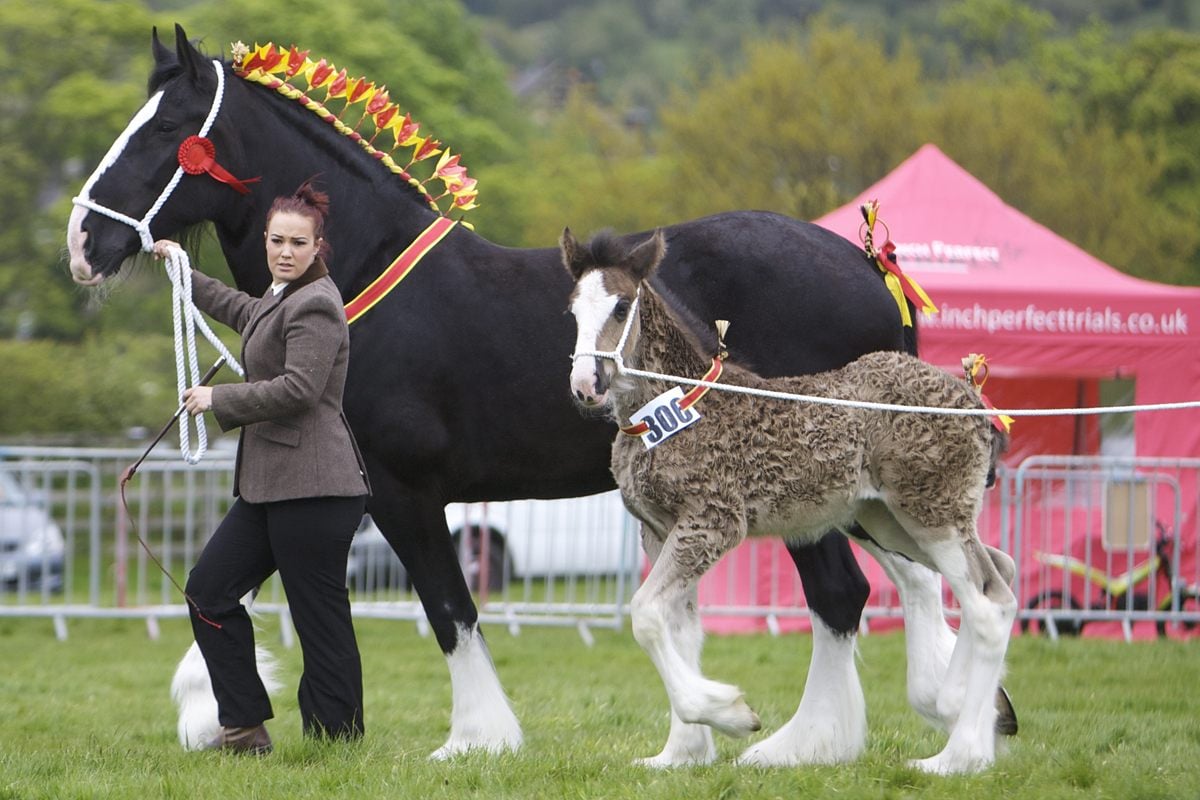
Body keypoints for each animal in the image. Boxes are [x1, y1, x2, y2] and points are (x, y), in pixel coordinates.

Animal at [63, 26, 1003, 762]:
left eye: (169, 129)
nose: (82, 242)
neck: (365, 278)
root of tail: (869, 265)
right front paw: (214, 715)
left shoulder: (403, 491)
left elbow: (449, 608)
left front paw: (477, 739)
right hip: (851, 493)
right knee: (915, 584)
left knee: (851, 595)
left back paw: (807, 743)